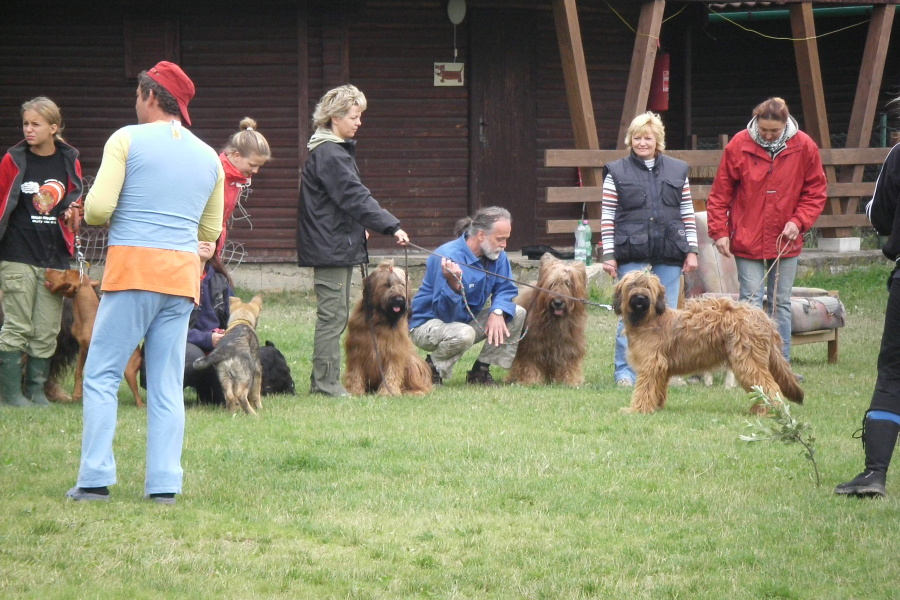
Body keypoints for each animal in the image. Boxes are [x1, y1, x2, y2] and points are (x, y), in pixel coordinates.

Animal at [342, 260, 432, 396]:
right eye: (386, 284)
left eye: (402, 284)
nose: (399, 300)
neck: (380, 319)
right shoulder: (357, 349)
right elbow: (355, 371)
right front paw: (355, 390)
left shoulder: (394, 350)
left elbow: (392, 371)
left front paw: (388, 392)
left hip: (412, 362)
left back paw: (413, 391)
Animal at [506, 252, 592, 384]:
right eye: (553, 284)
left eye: (568, 284)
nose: (558, 302)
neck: (555, 320)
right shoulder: (533, 344)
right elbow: (530, 362)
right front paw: (531, 380)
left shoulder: (569, 344)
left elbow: (568, 362)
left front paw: (570, 380)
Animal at [616, 270, 804, 414]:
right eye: (632, 285)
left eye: (648, 287)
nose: (640, 298)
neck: (650, 318)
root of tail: (763, 318)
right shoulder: (661, 368)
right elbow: (657, 389)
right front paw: (656, 407)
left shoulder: (650, 365)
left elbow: (644, 389)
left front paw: (636, 410)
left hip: (747, 361)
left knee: (769, 387)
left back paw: (770, 411)